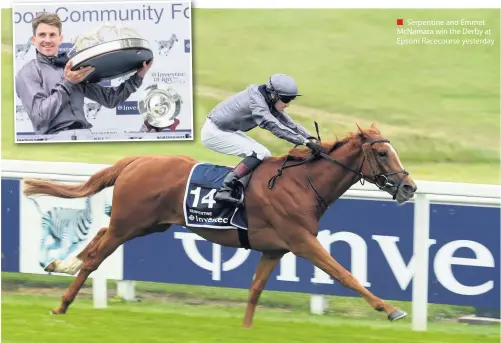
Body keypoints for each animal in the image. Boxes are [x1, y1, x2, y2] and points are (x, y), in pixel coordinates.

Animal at [22, 123, 414, 328]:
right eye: (383, 153)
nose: (409, 187)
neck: (302, 182)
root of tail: (137, 159)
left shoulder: (274, 249)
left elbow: (255, 290)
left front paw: (245, 329)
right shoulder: (302, 241)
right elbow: (344, 274)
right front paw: (391, 309)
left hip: (147, 224)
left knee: (99, 236)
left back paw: (59, 264)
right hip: (129, 223)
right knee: (95, 257)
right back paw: (61, 305)